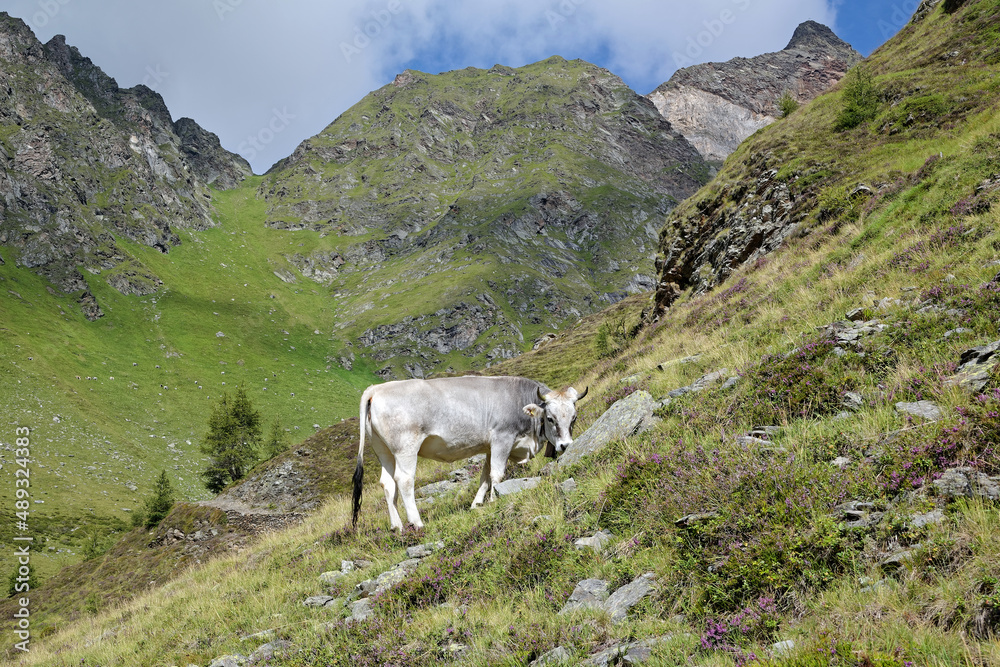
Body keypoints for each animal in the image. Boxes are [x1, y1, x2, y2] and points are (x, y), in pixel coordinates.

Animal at [351, 375, 587, 530]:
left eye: (573, 417)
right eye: (550, 418)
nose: (565, 445)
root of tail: (376, 389)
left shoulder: (490, 446)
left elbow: (485, 477)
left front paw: (477, 504)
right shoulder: (502, 438)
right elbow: (497, 474)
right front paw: (494, 501)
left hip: (383, 450)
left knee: (387, 483)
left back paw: (397, 527)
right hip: (405, 448)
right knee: (404, 480)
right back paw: (417, 523)